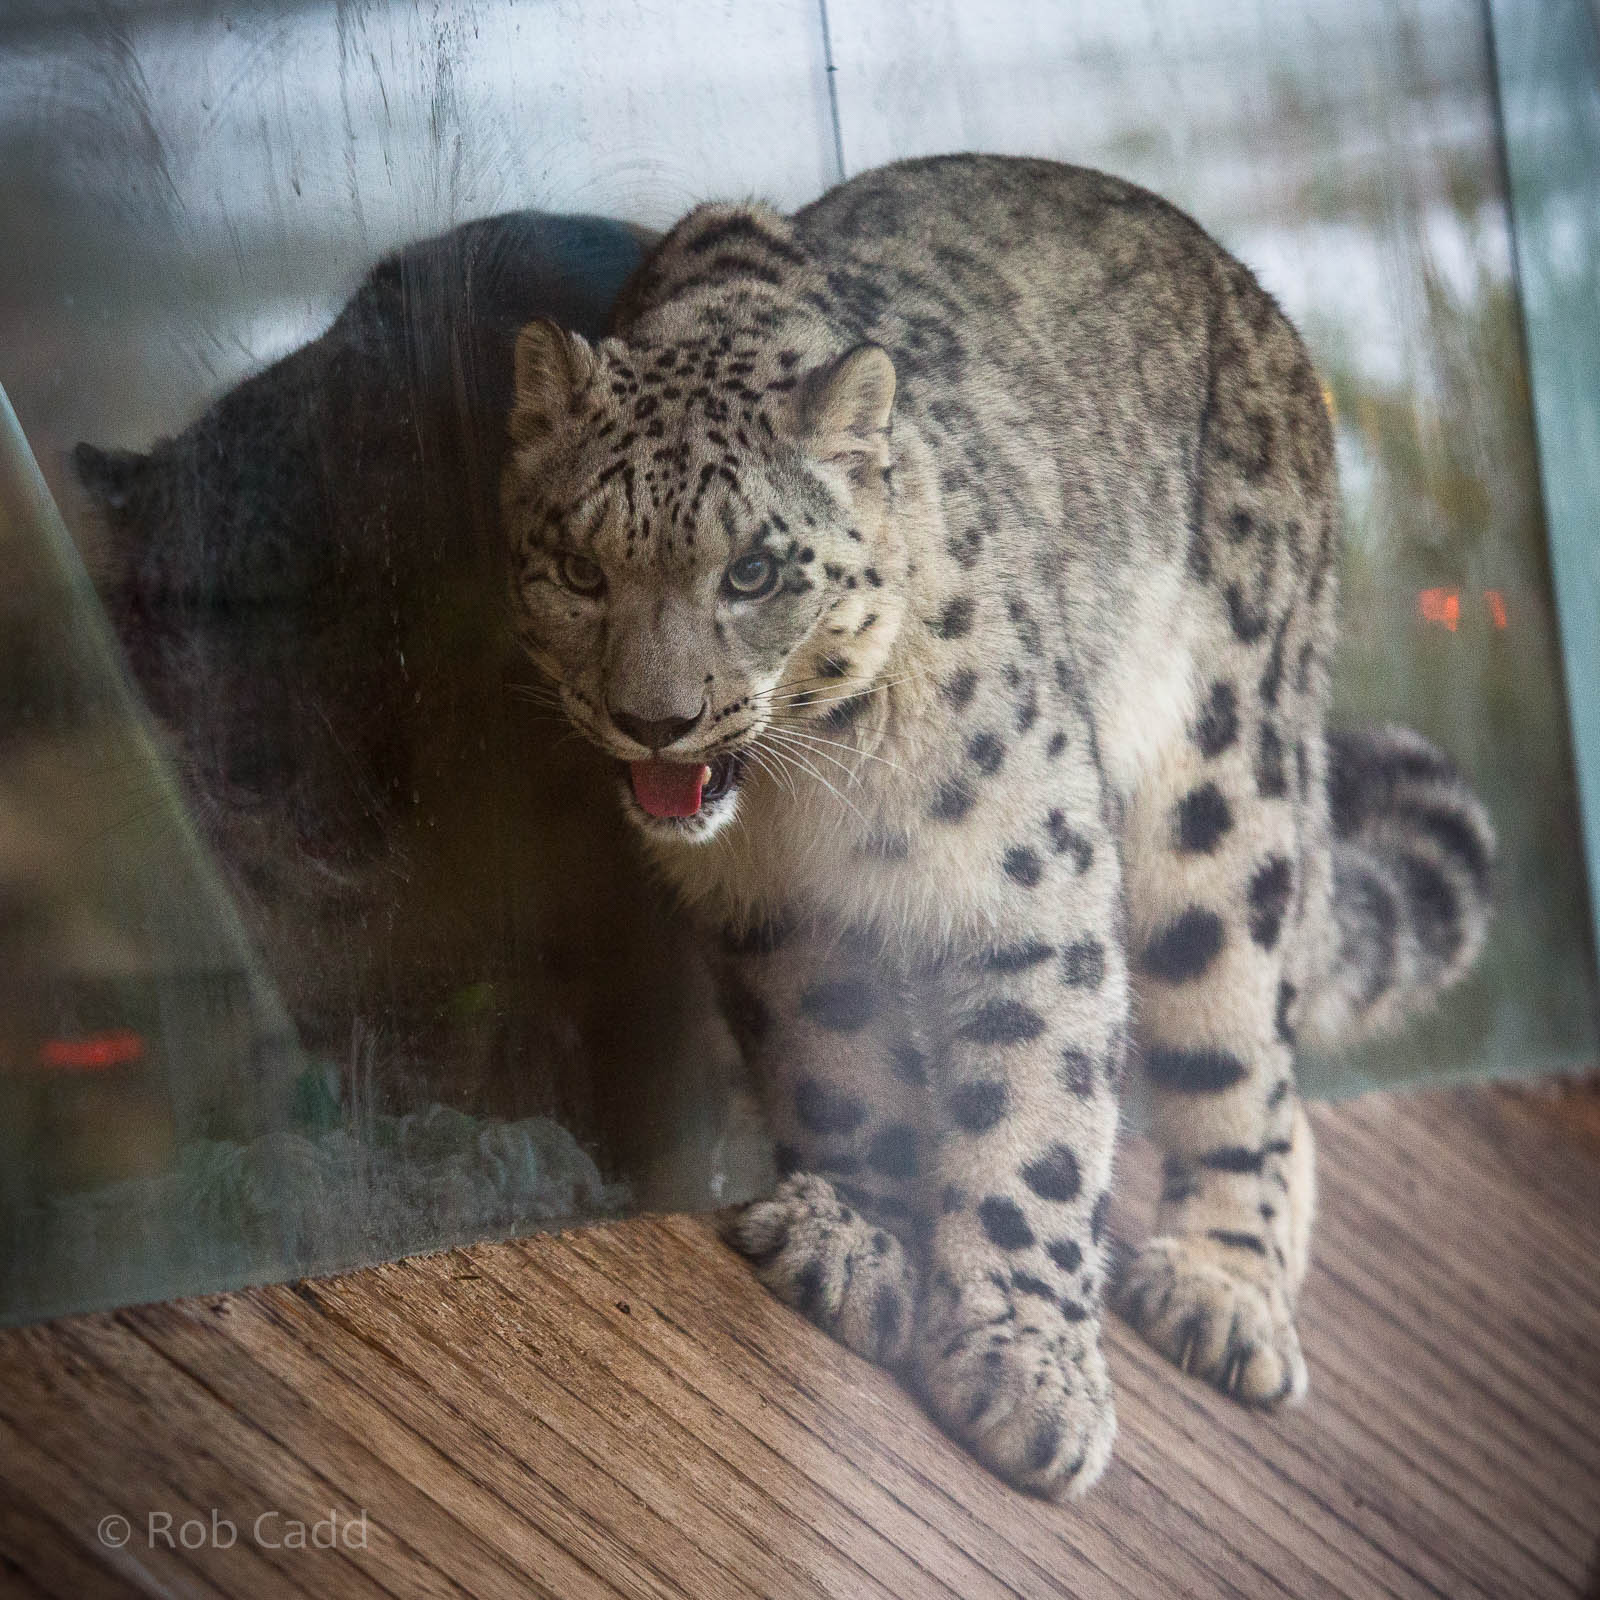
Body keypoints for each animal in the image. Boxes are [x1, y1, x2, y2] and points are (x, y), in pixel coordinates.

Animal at [499, 154, 1496, 1497]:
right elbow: (835, 1058)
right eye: (579, 567)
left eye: (754, 572)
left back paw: (1225, 1291)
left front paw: (1027, 1374)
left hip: (1222, 799)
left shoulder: (1028, 874)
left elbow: (1037, 1113)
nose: (655, 721)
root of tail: (1260, 308)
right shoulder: (777, 912)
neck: (808, 800)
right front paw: (858, 1239)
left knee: (1245, 1048)